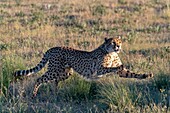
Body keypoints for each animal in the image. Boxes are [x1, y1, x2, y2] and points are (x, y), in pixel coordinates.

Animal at [13, 37, 153, 97]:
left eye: (119, 42)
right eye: (113, 42)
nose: (118, 46)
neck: (111, 52)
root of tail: (52, 48)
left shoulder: (121, 72)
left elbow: (132, 73)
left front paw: (146, 75)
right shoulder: (99, 69)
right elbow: (112, 68)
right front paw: (117, 67)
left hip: (65, 73)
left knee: (54, 81)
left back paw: (55, 93)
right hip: (54, 70)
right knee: (39, 79)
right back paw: (34, 94)